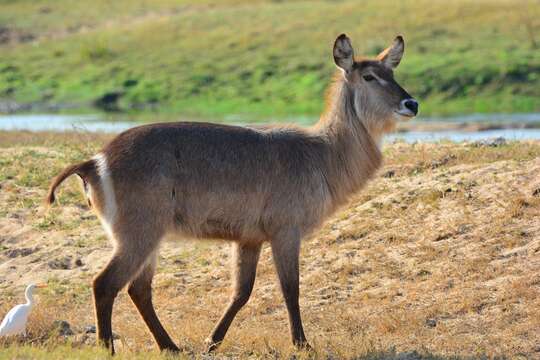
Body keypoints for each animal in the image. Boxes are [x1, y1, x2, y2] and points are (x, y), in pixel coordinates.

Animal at [45, 33, 418, 354]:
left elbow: (242, 291)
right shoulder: (286, 230)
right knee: (105, 284)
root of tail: (94, 161)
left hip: (148, 235)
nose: (411, 103)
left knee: (138, 289)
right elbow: (291, 288)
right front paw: (302, 344)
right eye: (369, 76)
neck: (322, 153)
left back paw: (171, 346)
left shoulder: (249, 238)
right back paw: (108, 348)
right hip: (139, 233)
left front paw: (212, 341)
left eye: (393, 72)